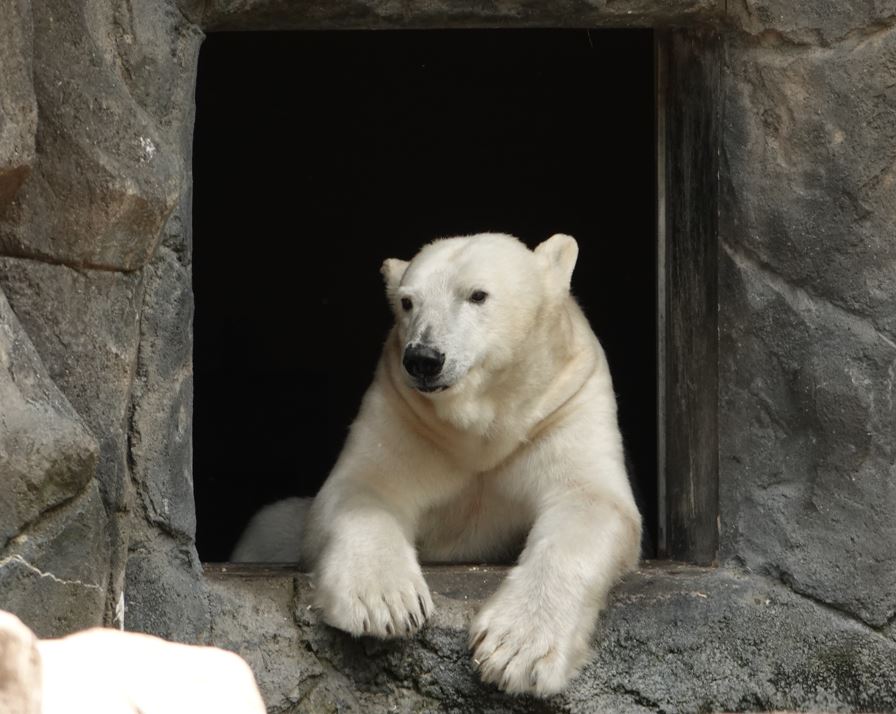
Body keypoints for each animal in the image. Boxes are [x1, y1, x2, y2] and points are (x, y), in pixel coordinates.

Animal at [238, 234, 644, 696]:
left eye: (478, 295)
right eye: (407, 302)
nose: (423, 358)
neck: (482, 426)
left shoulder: (565, 403)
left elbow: (591, 501)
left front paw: (516, 651)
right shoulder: (403, 413)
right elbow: (364, 486)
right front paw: (385, 604)